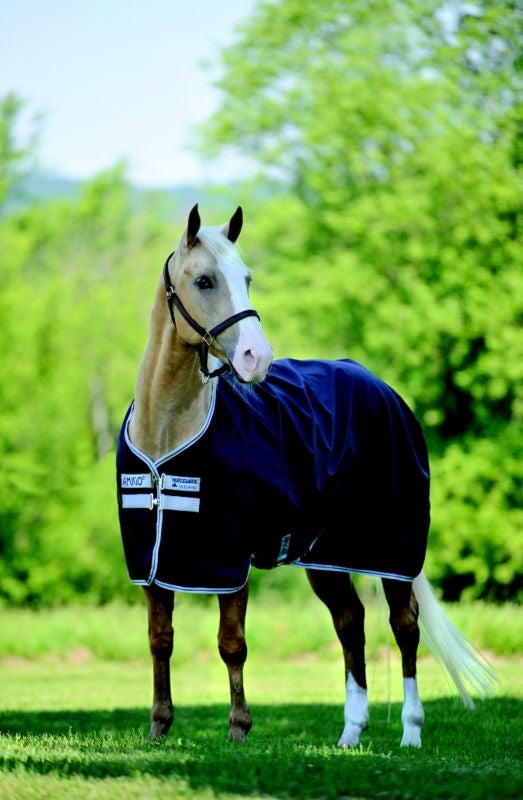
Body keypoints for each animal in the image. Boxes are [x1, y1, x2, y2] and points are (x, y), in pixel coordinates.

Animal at [117, 204, 495, 748]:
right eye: (205, 280)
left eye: (247, 278)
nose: (257, 358)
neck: (167, 436)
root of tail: (383, 388)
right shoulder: (154, 561)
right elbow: (159, 640)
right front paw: (159, 727)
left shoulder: (230, 561)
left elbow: (232, 643)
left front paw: (238, 729)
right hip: (327, 554)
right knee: (350, 622)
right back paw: (351, 733)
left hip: (393, 548)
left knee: (404, 626)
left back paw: (410, 731)